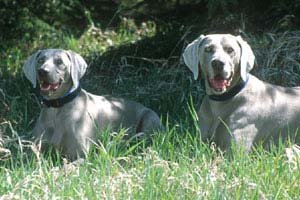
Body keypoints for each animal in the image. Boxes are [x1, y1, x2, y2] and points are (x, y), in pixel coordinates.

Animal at [23, 49, 163, 160]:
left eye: (59, 62)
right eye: (40, 60)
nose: (42, 71)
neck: (56, 108)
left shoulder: (81, 156)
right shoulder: (32, 153)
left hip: (149, 117)